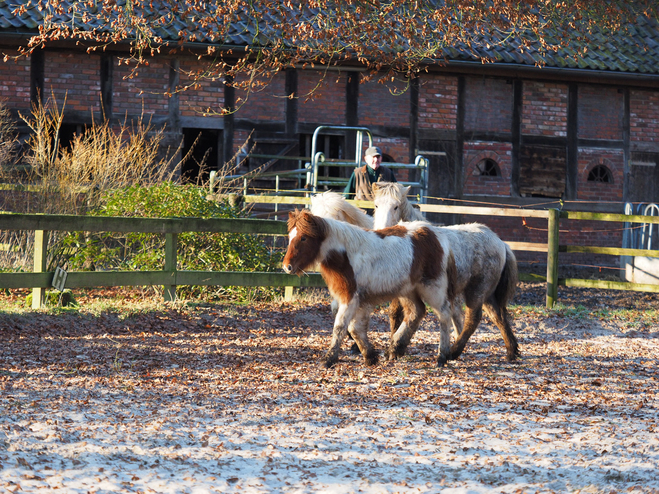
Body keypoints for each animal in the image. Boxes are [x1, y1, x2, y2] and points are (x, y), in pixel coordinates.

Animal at [284, 207, 458, 366]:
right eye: (290, 236)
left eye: (304, 238)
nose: (287, 267)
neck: (346, 255)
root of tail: (437, 235)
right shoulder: (360, 301)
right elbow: (355, 329)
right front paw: (370, 356)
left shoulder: (351, 298)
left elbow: (341, 326)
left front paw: (328, 359)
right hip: (407, 290)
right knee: (416, 312)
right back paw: (394, 350)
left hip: (432, 288)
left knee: (444, 314)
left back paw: (442, 356)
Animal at [372, 180, 520, 358]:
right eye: (376, 205)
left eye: (396, 206)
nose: (381, 231)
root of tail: (502, 243)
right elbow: (396, 314)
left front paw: (396, 347)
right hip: (488, 294)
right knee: (497, 316)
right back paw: (511, 351)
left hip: (477, 290)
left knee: (473, 318)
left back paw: (454, 351)